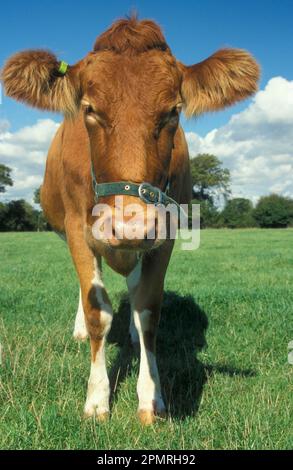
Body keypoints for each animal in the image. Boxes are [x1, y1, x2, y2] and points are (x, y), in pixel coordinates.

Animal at [1, 16, 258, 424]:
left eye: (173, 111)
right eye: (89, 109)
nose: (131, 226)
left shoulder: (166, 230)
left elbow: (148, 309)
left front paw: (151, 397)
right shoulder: (77, 229)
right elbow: (97, 310)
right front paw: (97, 399)